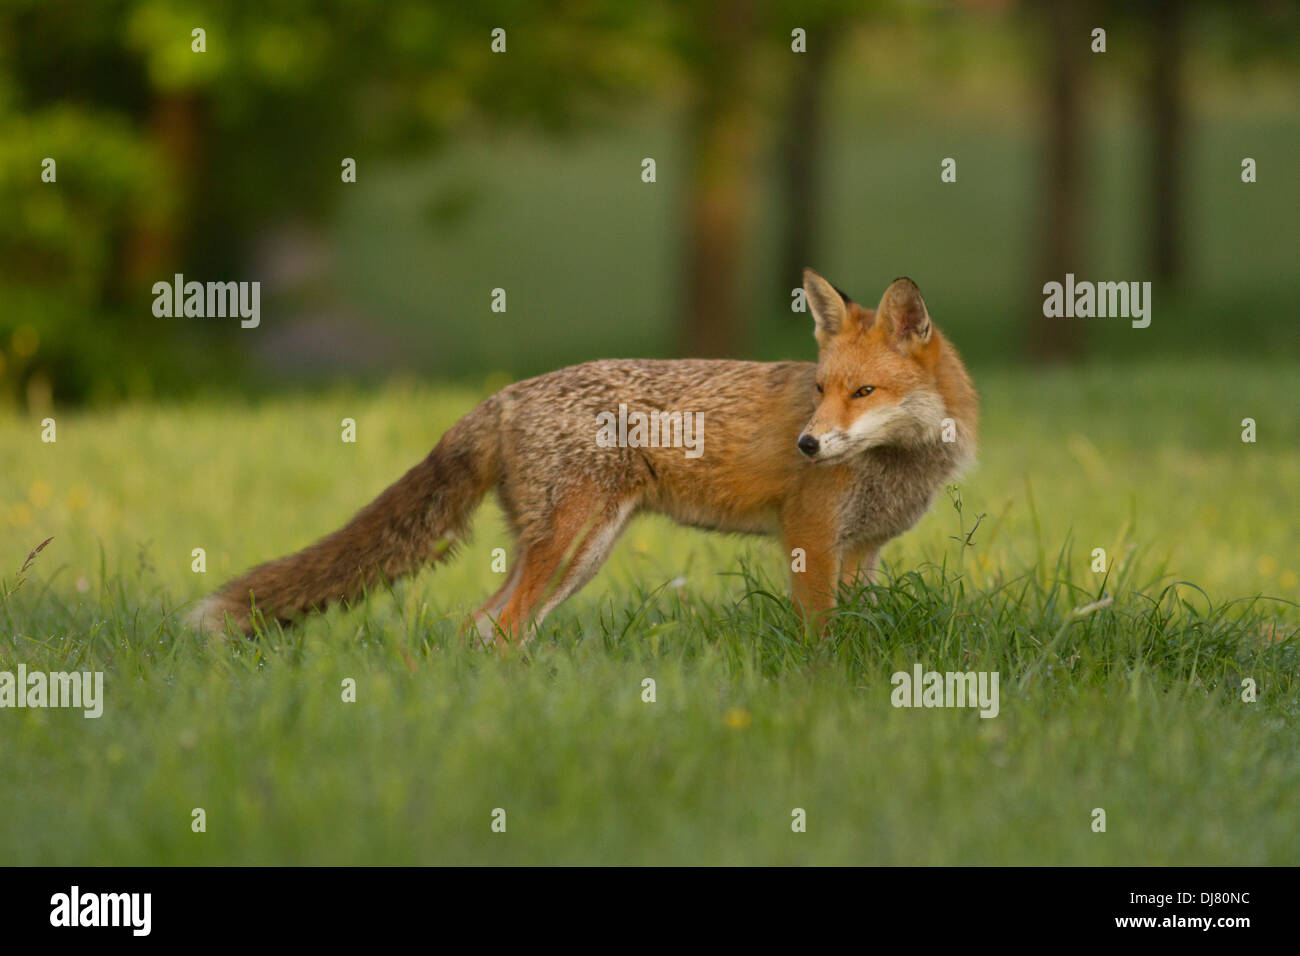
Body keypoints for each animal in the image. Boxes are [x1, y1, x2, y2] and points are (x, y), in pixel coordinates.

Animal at [192, 269, 977, 642]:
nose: (808, 444)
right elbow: (819, 638)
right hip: (573, 541)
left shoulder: (863, 551)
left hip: (578, 552)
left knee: (481, 628)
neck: (900, 463)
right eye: (819, 390)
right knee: (501, 628)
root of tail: (504, 394)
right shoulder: (810, 538)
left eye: (863, 391)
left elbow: (858, 627)